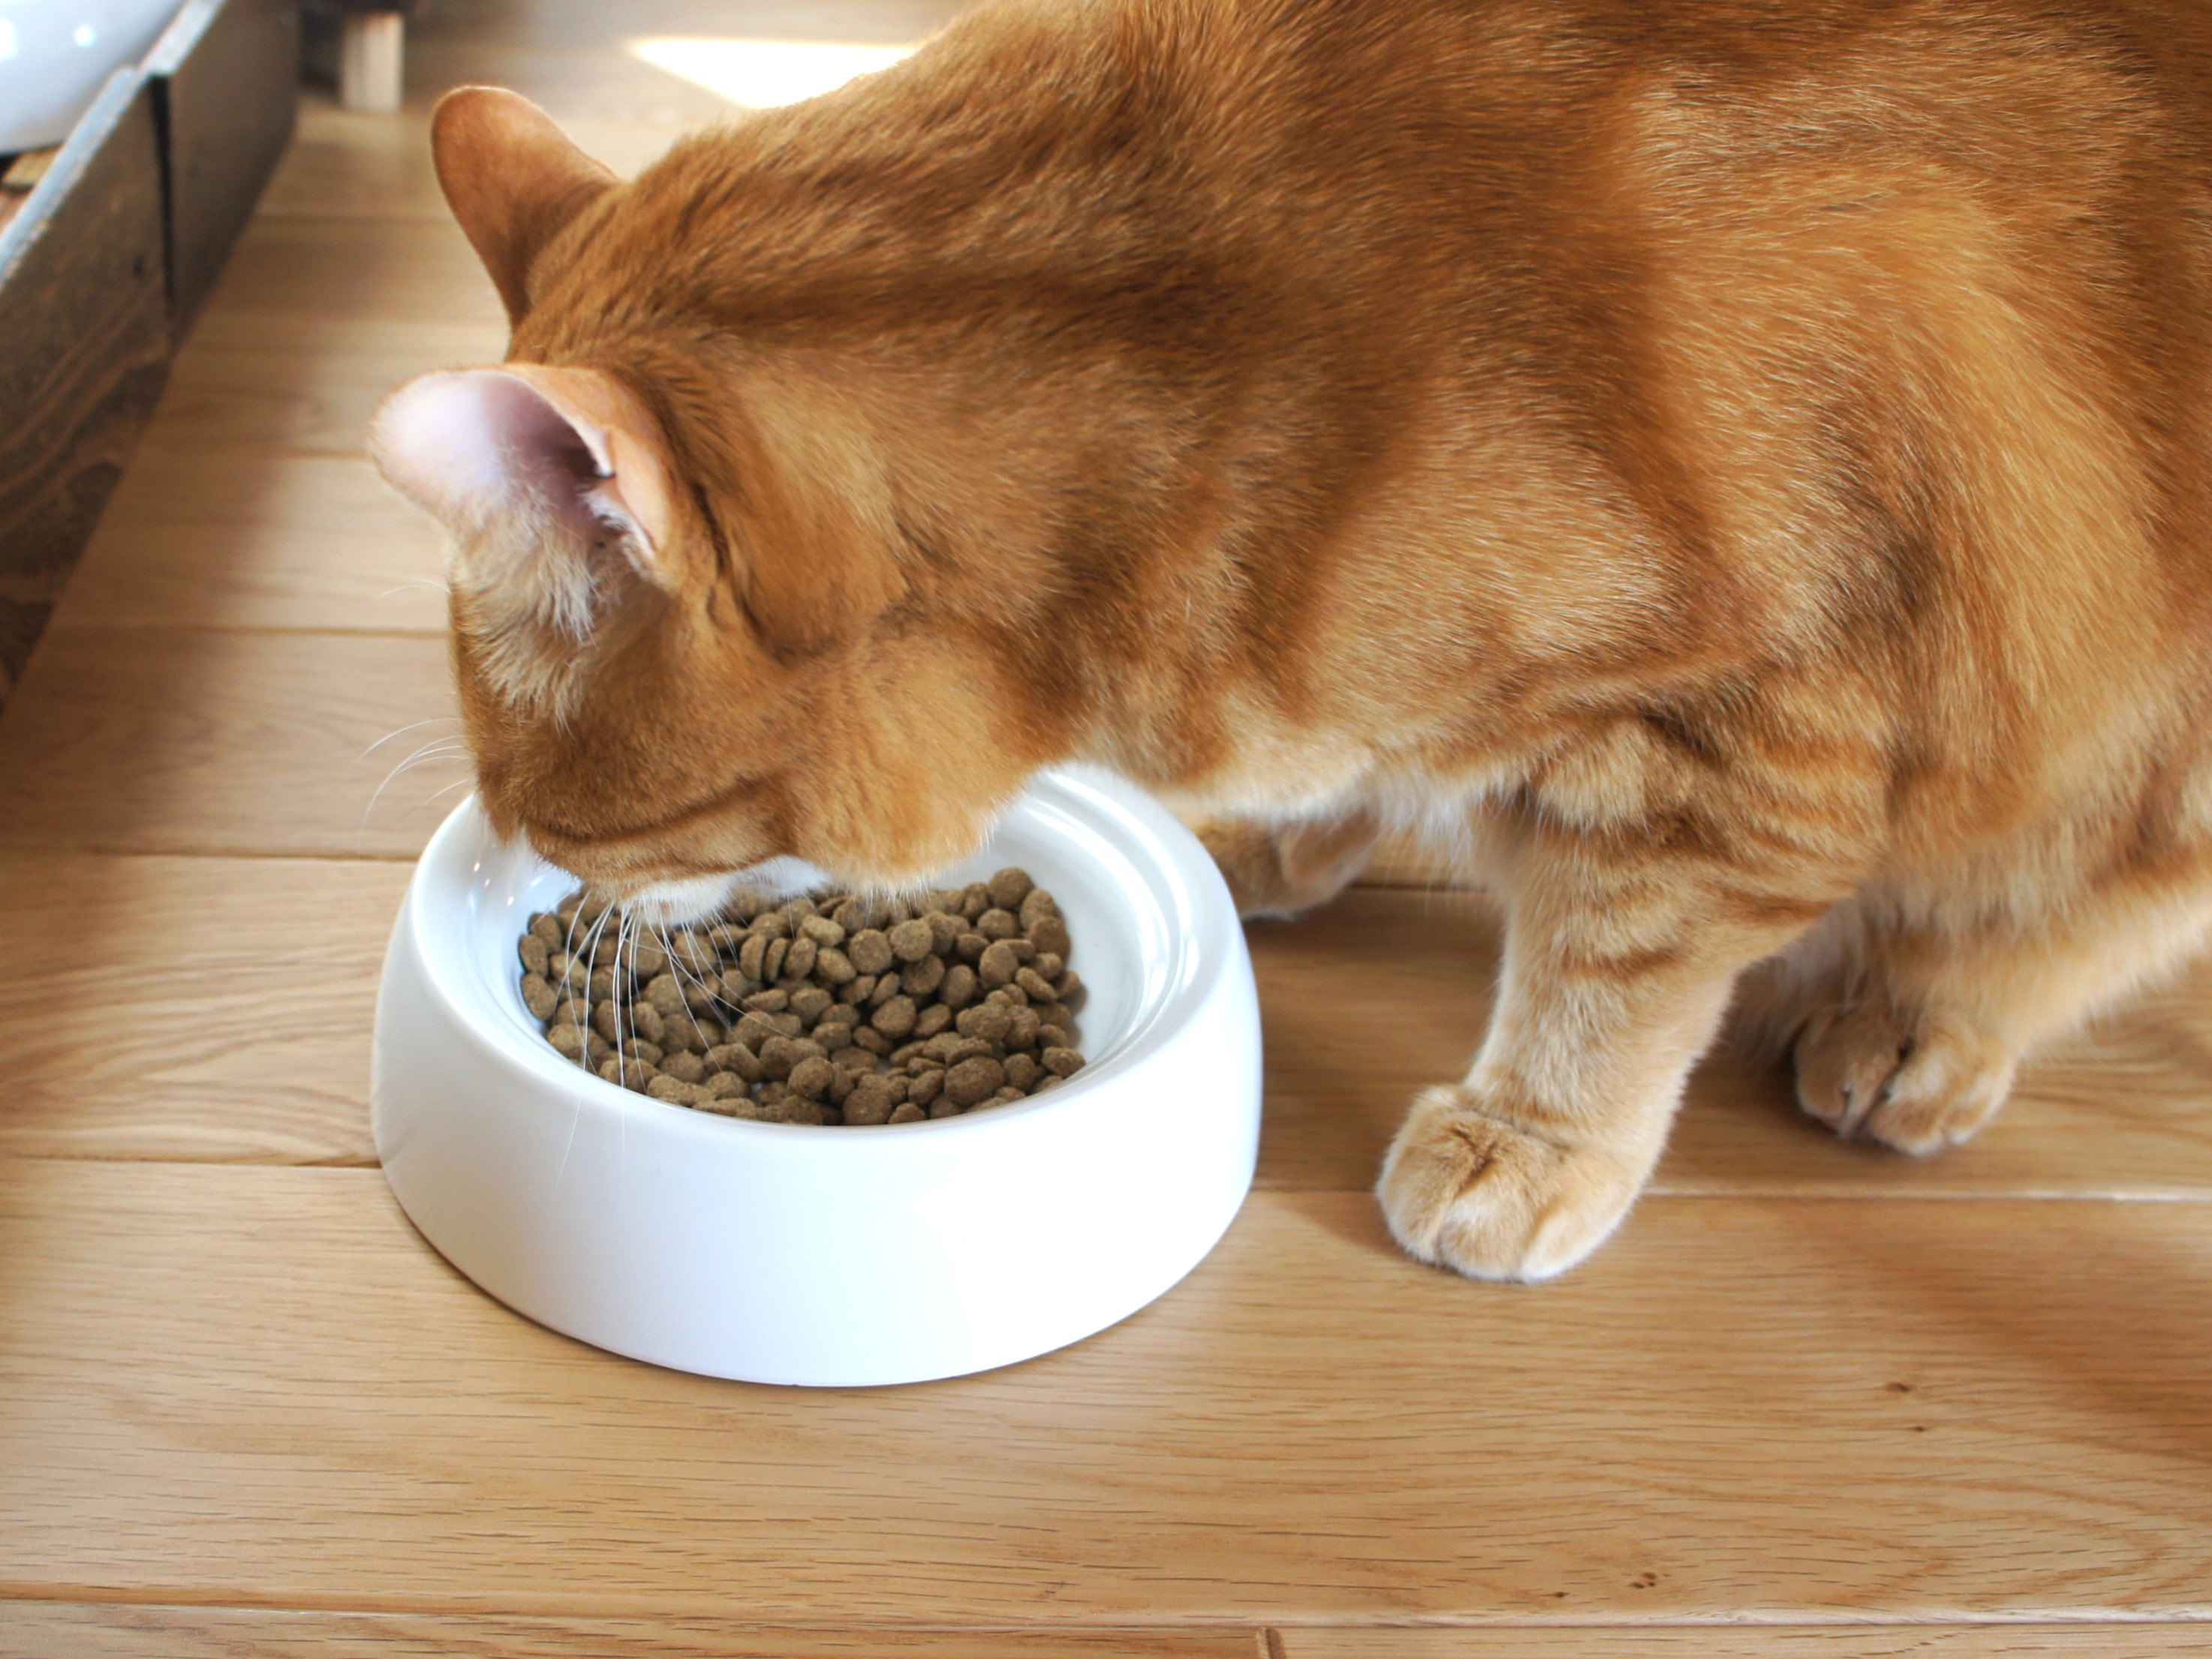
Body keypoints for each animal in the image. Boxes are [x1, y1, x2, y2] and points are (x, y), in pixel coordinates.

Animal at [371, 0, 2212, 1284]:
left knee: (2048, 914)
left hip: (2144, 765)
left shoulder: (1755, 736)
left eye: (560, 815)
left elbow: (1616, 969)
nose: (554, 885)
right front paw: (1276, 830)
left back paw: (1915, 1025)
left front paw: (1532, 1143)